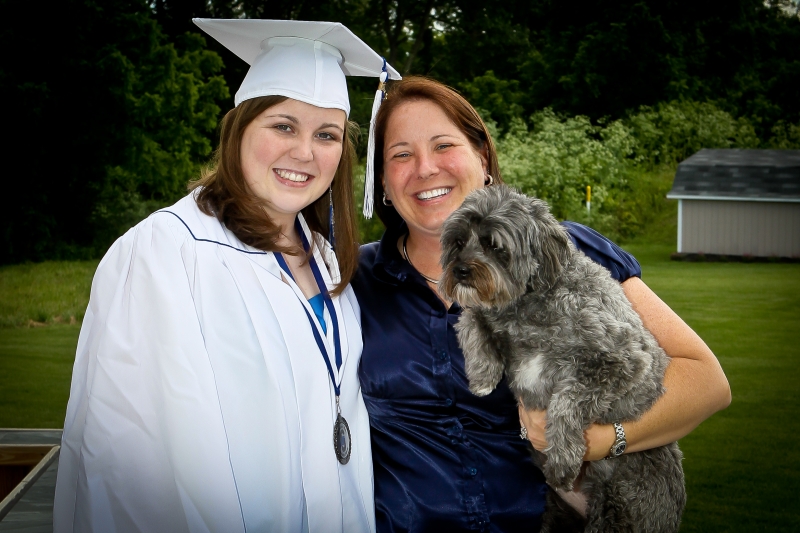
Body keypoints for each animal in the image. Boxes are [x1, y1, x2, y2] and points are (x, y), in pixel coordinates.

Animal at [439, 185, 686, 533]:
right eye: (458, 242)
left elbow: (565, 402)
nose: (459, 271)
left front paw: (562, 461)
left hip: (619, 512)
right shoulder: (486, 314)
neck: (526, 306)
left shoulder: (623, 361)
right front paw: (483, 376)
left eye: (495, 245)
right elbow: (471, 319)